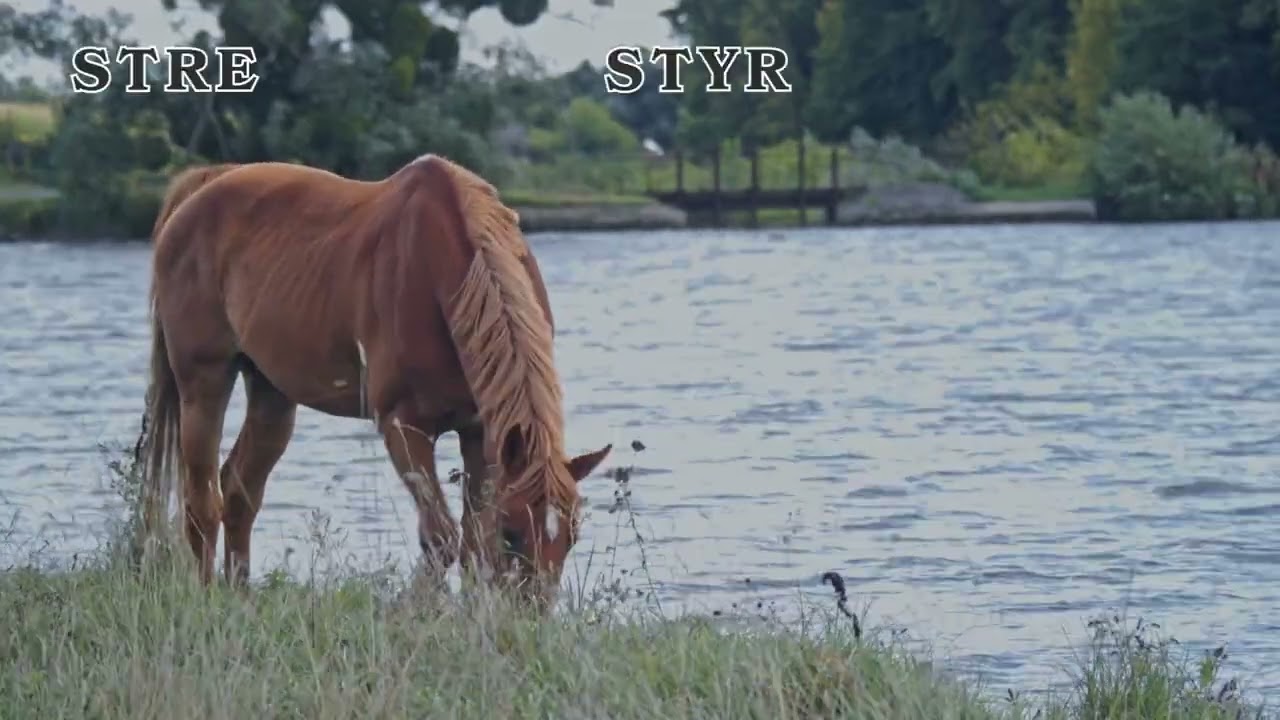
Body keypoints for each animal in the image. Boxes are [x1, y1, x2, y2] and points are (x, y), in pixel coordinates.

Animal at [138, 154, 613, 612]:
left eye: (571, 534)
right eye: (512, 533)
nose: (532, 614)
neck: (436, 269)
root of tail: (202, 186)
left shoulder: (480, 432)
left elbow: (472, 540)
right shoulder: (403, 427)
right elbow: (440, 535)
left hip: (272, 393)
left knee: (239, 492)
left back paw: (239, 600)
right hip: (203, 382)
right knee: (202, 503)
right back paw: (208, 601)